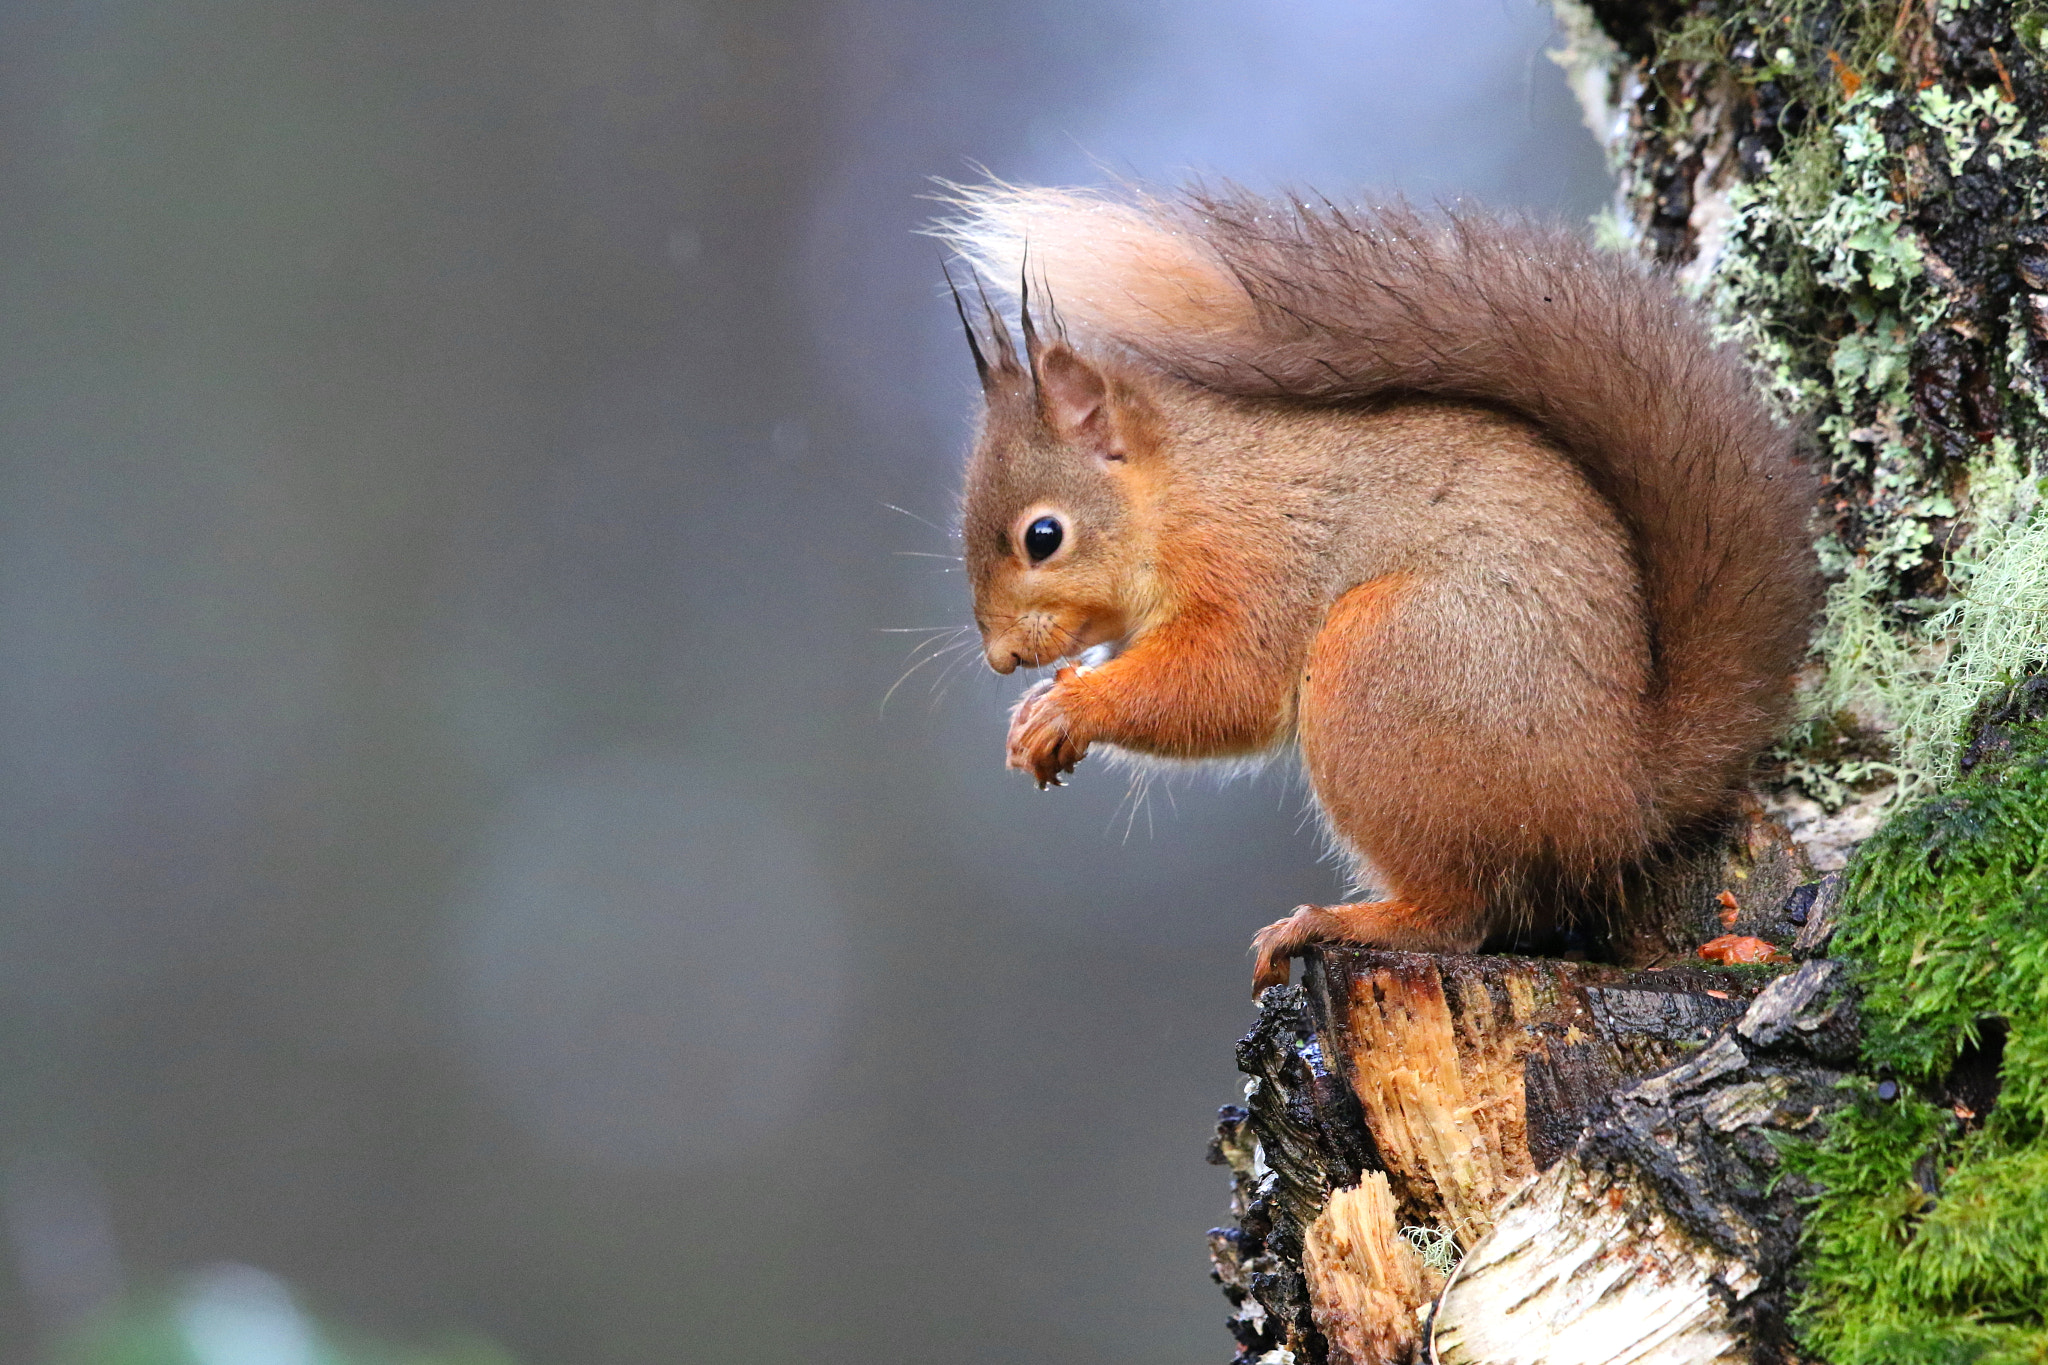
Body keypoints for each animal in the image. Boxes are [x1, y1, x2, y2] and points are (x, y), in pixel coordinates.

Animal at [933, 185, 1818, 995]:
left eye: (1042, 536)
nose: (1001, 656)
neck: (1187, 488)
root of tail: (1626, 792)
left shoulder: (1257, 557)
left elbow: (1225, 685)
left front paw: (1067, 707)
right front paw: (1035, 719)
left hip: (1387, 666)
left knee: (1461, 913)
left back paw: (1339, 921)